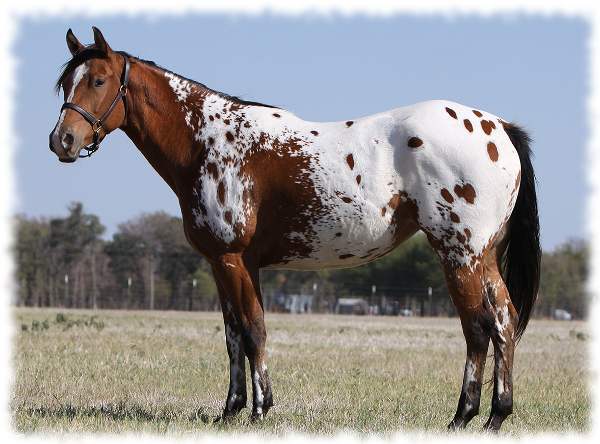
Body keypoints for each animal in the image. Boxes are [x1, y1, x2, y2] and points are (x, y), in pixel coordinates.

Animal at [49, 26, 540, 430]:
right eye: (66, 84)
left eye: (98, 81)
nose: (62, 141)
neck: (207, 142)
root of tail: (498, 128)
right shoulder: (228, 264)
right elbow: (234, 335)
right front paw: (230, 411)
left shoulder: (233, 259)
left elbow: (252, 331)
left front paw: (259, 411)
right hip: (482, 256)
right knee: (503, 320)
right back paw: (496, 416)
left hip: (460, 254)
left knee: (478, 328)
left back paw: (463, 416)